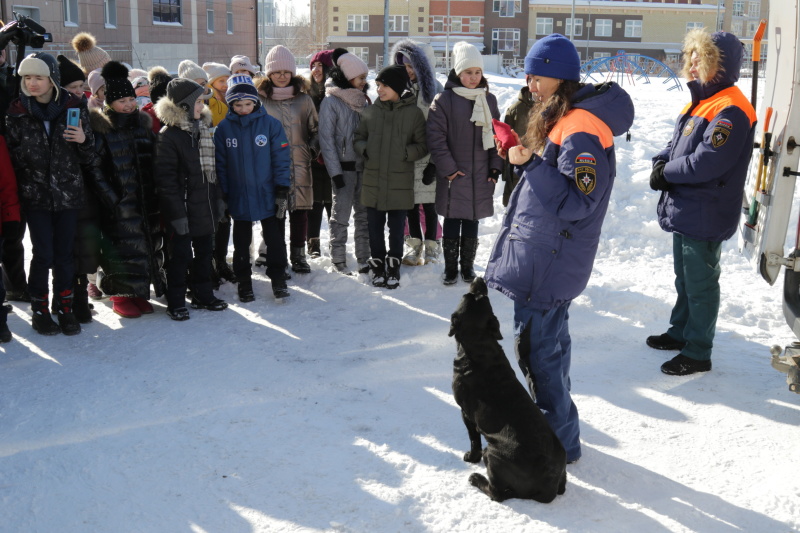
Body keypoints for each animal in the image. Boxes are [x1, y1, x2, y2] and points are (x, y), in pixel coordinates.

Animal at [450, 278, 568, 502]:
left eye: (467, 296)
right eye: (480, 297)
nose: (480, 279)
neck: (480, 347)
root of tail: (549, 486)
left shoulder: (465, 413)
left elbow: (473, 438)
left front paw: (471, 457)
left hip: (494, 453)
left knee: (497, 493)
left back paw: (476, 478)